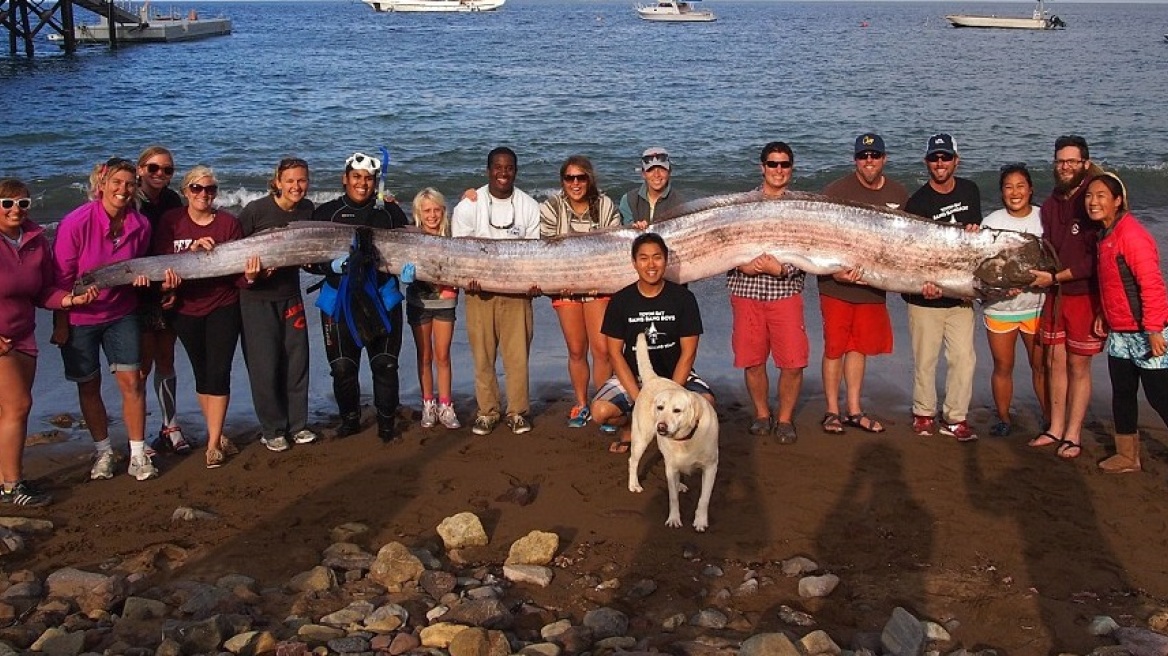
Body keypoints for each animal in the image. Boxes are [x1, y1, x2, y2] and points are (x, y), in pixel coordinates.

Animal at [630, 331, 719, 532]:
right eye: (660, 407)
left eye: (677, 410)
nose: (661, 427)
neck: (687, 438)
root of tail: (655, 378)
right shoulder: (670, 468)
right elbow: (672, 498)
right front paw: (674, 519)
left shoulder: (711, 467)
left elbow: (704, 498)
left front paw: (700, 521)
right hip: (641, 438)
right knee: (633, 460)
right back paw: (634, 484)